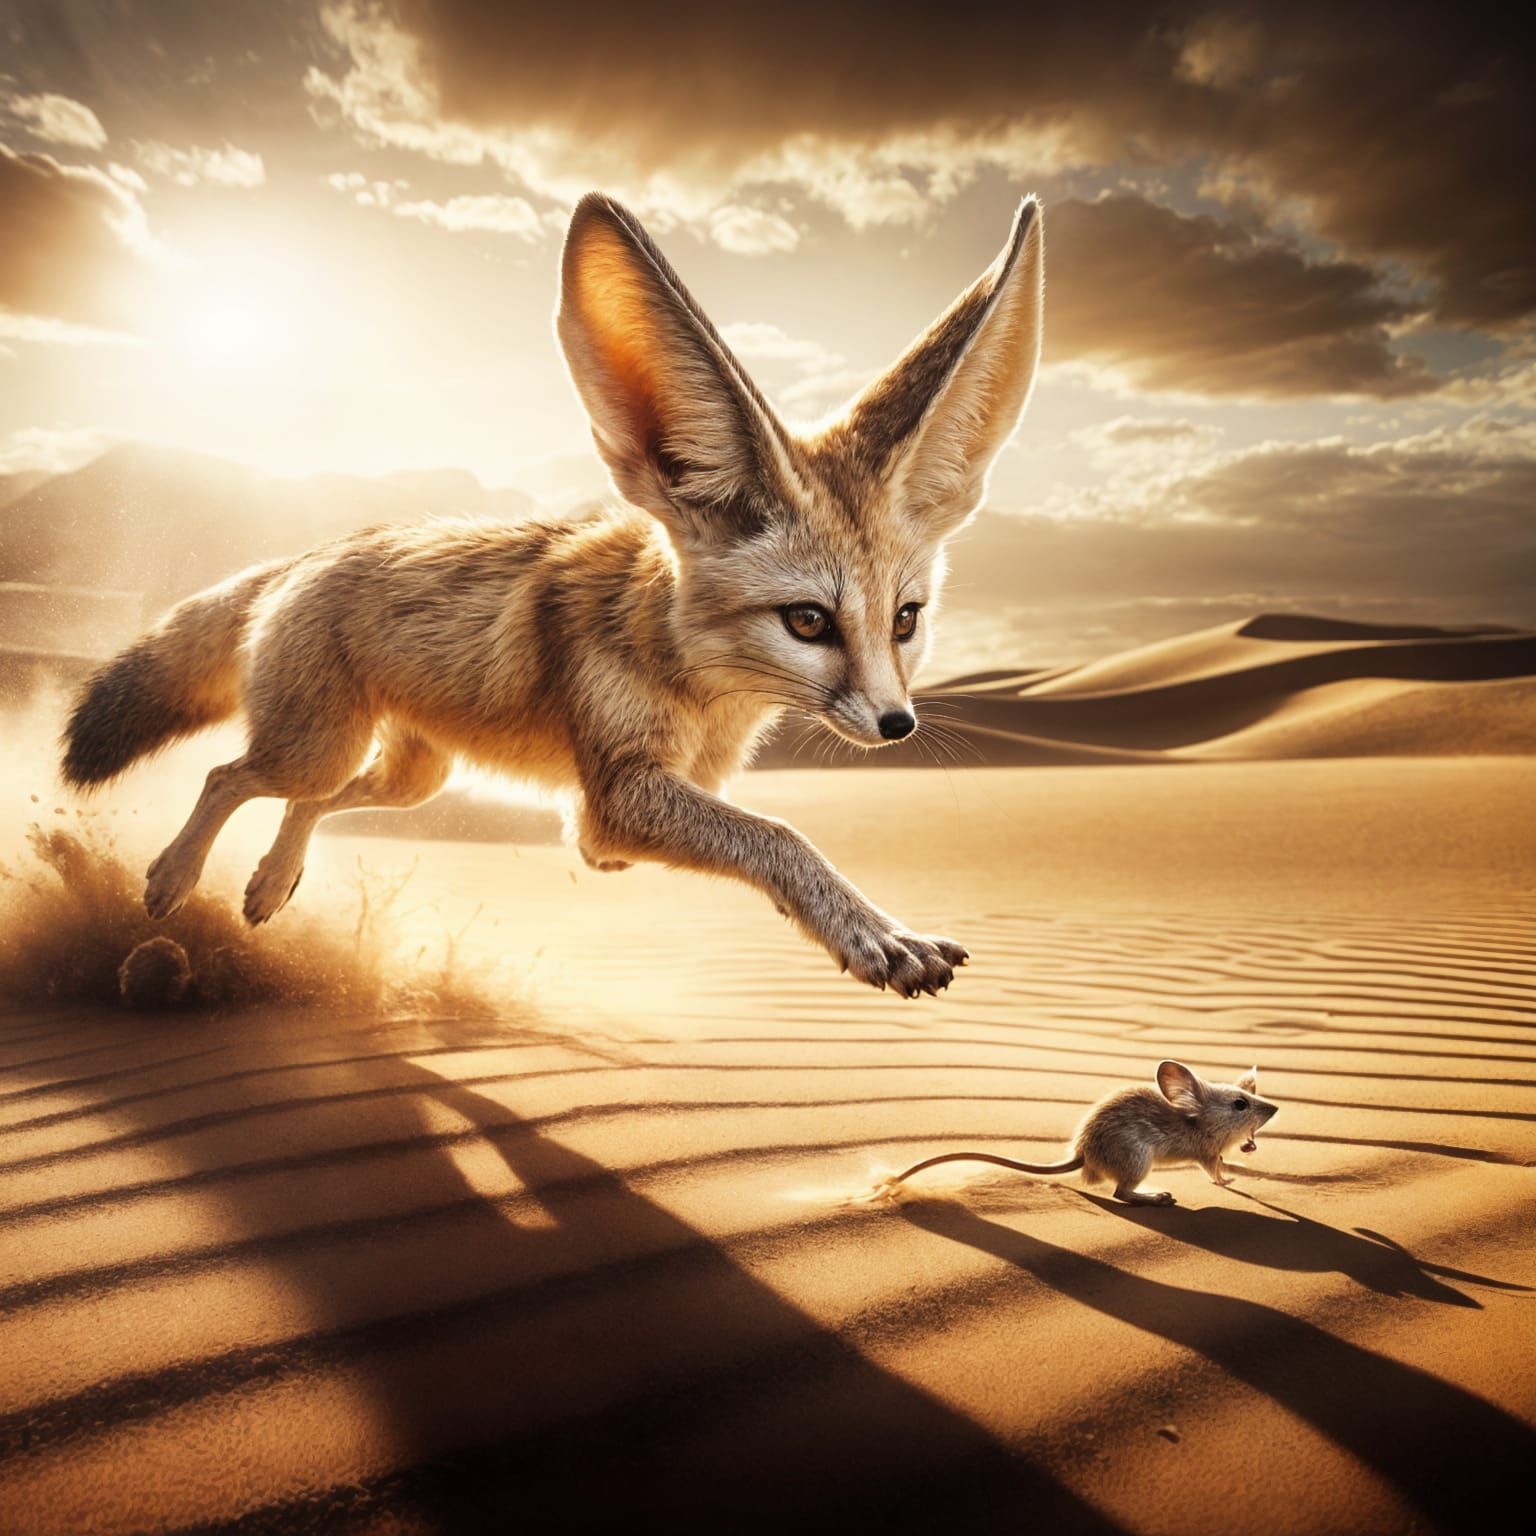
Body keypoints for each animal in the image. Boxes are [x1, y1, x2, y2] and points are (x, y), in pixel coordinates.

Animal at [60, 191, 1045, 998]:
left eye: (906, 620)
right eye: (808, 621)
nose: (898, 725)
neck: (700, 689)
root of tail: (316, 550)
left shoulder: (610, 820)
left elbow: (699, 836)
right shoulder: (616, 801)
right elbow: (779, 835)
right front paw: (871, 932)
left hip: (412, 775)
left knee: (312, 800)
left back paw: (270, 882)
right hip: (318, 747)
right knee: (230, 774)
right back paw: (173, 878)